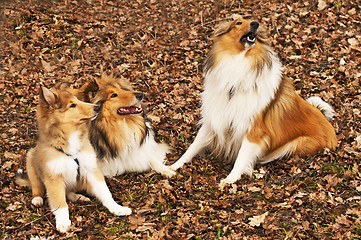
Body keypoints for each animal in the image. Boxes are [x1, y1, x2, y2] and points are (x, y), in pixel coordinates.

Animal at [16, 84, 131, 232]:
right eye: (72, 105)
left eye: (77, 100)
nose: (97, 107)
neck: (70, 139)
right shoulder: (54, 178)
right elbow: (60, 203)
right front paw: (63, 223)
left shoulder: (91, 169)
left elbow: (105, 192)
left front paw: (117, 208)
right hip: (30, 158)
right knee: (37, 187)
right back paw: (37, 199)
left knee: (69, 192)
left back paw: (79, 197)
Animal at [170, 17, 336, 188]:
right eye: (238, 22)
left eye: (252, 21)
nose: (255, 24)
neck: (239, 60)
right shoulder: (215, 118)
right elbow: (193, 146)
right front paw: (173, 166)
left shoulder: (253, 130)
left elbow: (241, 157)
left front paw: (230, 179)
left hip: (294, 144)